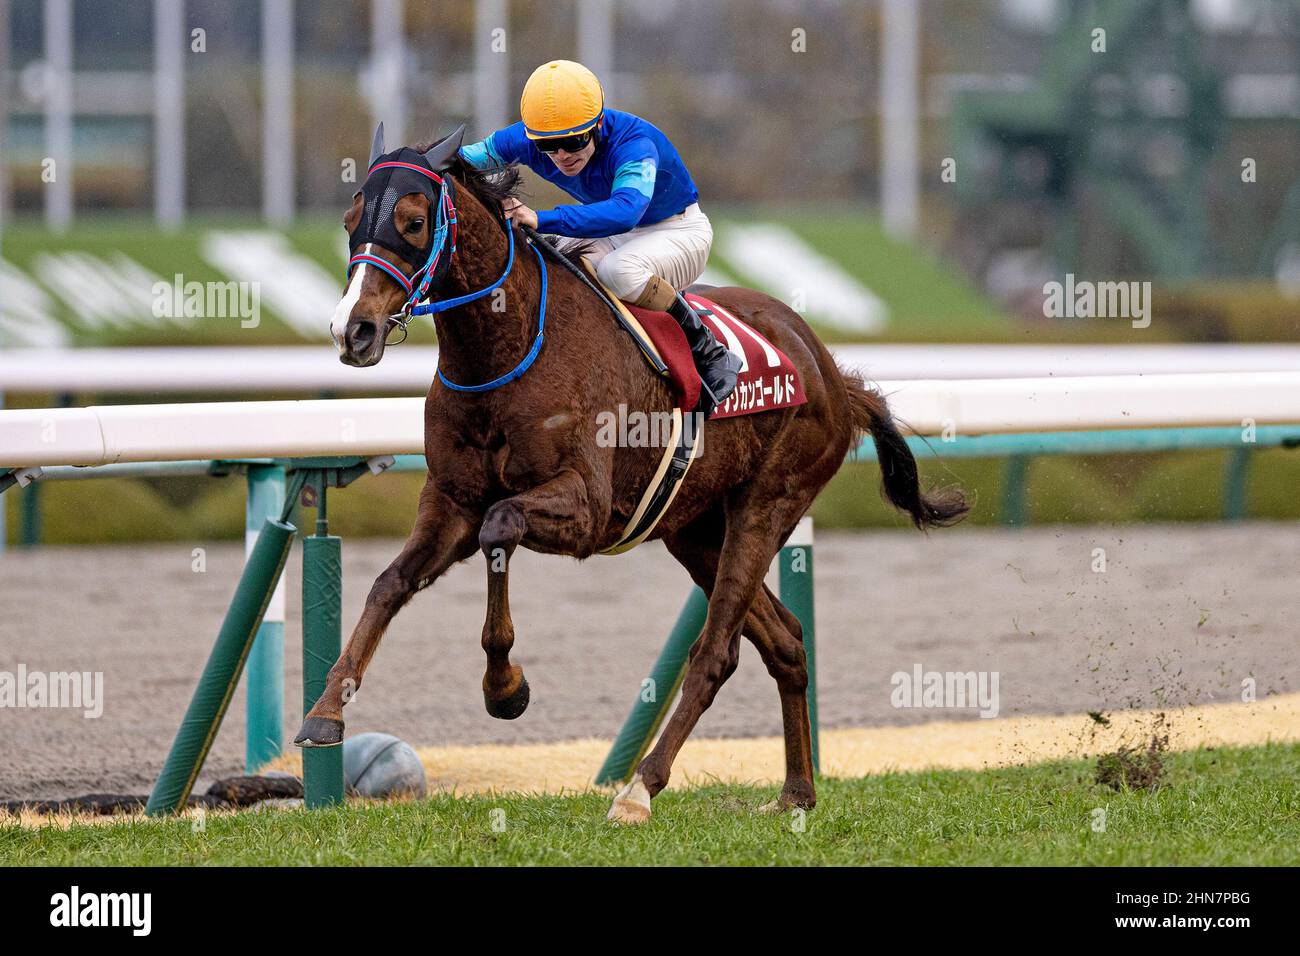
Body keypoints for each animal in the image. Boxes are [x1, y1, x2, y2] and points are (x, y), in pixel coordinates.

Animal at [297, 121, 967, 822]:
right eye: (350, 221)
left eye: (414, 220)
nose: (354, 330)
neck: (506, 348)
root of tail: (832, 373)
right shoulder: (450, 500)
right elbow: (388, 585)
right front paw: (326, 713)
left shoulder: (585, 508)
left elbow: (500, 527)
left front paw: (505, 688)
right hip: (694, 530)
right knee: (783, 640)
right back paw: (795, 794)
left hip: (768, 502)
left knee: (717, 651)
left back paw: (640, 787)